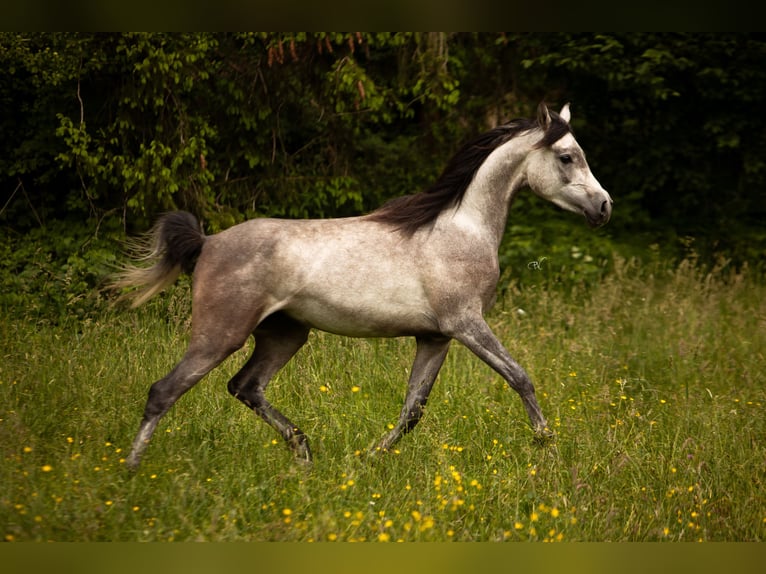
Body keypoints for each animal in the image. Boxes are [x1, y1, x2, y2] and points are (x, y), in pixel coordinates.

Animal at [116, 103, 612, 470]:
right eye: (567, 157)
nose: (604, 207)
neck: (462, 230)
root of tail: (207, 242)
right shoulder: (466, 324)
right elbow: (520, 378)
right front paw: (547, 446)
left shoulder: (435, 337)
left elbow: (413, 409)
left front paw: (370, 456)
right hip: (221, 333)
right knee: (164, 391)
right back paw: (131, 473)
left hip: (285, 334)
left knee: (245, 386)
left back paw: (303, 453)